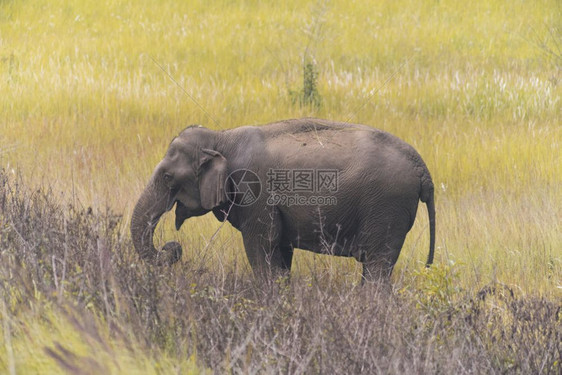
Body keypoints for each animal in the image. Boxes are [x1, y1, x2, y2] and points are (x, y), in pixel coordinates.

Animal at [130, 117, 434, 282]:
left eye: (167, 177)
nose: (172, 247)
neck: (221, 138)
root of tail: (422, 168)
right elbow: (280, 253)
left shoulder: (255, 195)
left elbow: (261, 249)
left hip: (386, 207)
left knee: (376, 268)